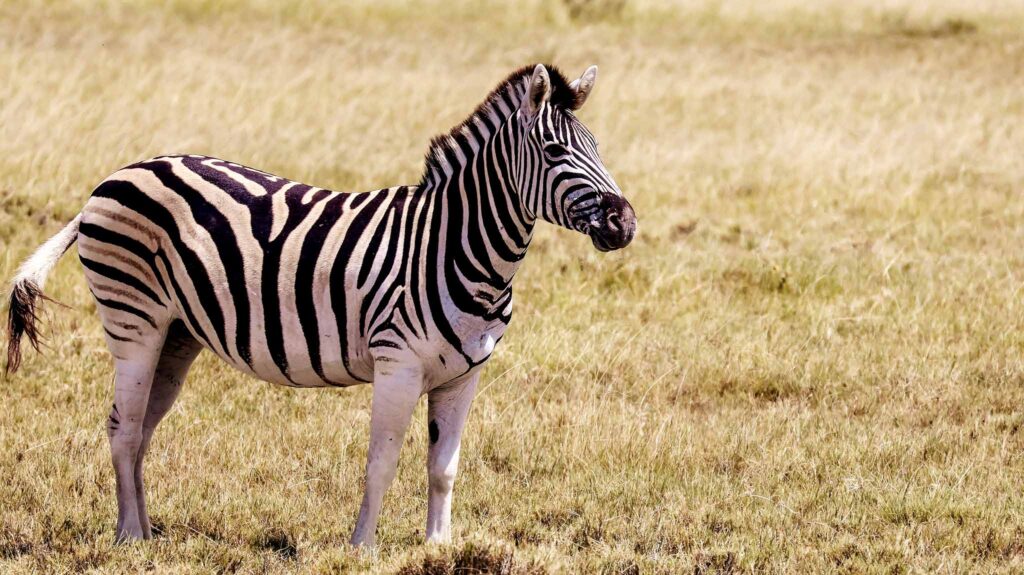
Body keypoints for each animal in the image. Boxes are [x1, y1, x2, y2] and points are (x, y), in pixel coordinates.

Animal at [5, 63, 636, 547]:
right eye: (554, 150)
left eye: (598, 148)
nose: (624, 222)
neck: (456, 246)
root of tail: (115, 176)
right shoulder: (398, 363)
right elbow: (382, 464)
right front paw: (362, 548)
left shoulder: (464, 375)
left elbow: (443, 468)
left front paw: (439, 547)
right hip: (132, 320)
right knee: (123, 429)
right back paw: (131, 538)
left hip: (176, 335)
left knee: (141, 432)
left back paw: (142, 533)